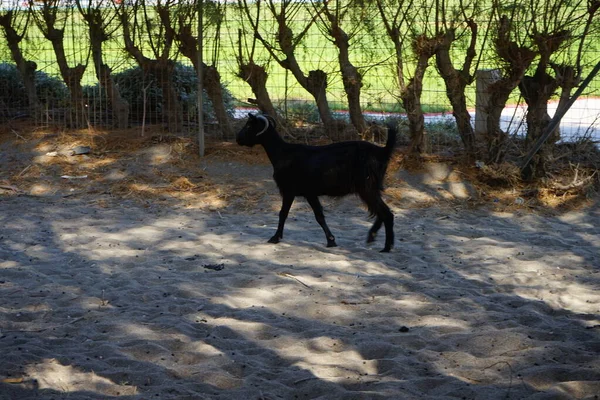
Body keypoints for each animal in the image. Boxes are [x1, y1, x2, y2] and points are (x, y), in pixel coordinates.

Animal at [237, 113, 396, 250]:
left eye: (249, 126)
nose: (238, 138)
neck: (283, 153)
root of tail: (382, 151)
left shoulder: (290, 191)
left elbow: (284, 213)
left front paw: (275, 238)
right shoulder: (310, 193)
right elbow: (319, 216)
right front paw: (331, 240)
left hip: (367, 187)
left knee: (385, 213)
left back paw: (386, 247)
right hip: (371, 188)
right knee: (381, 212)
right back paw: (373, 237)